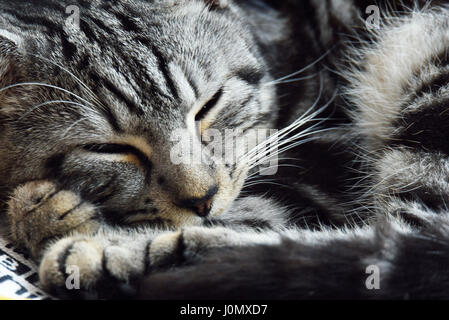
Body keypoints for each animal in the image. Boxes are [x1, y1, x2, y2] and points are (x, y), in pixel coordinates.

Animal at [0, 0, 448, 298]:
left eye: (209, 104)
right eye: (105, 148)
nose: (203, 199)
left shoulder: (322, 154)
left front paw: (47, 213)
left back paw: (100, 256)